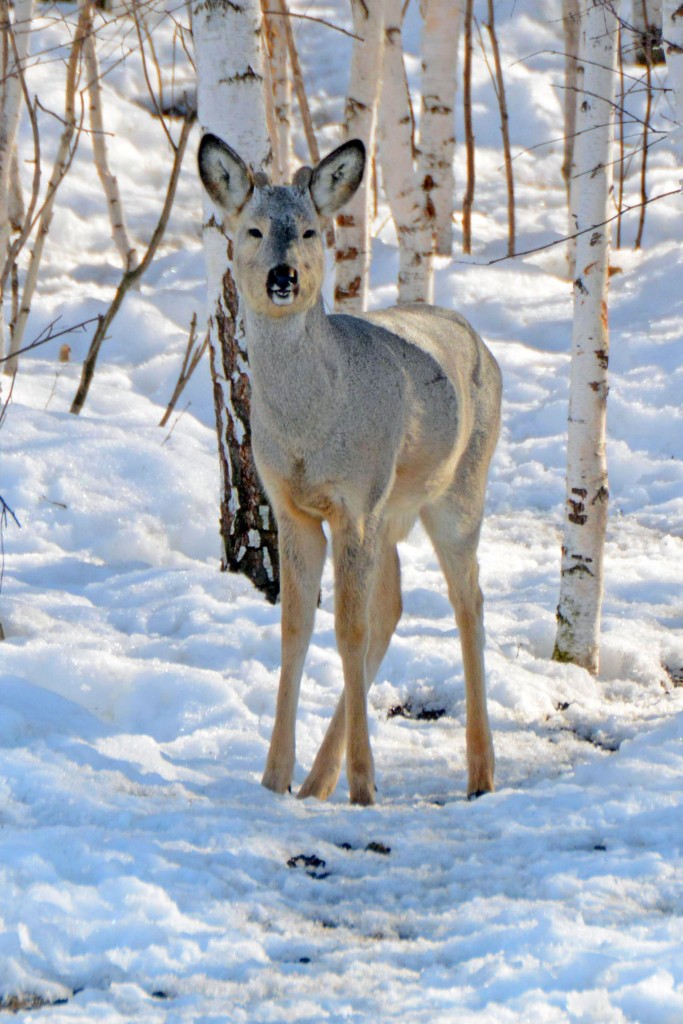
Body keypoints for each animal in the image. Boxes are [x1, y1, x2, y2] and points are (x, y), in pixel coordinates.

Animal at [197, 134, 501, 806]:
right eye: (253, 229)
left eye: (311, 231)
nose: (283, 276)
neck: (310, 427)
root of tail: (478, 340)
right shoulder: (293, 508)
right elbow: (296, 629)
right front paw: (274, 777)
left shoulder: (354, 503)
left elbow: (347, 632)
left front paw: (364, 785)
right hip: (392, 512)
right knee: (394, 604)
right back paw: (317, 780)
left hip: (458, 492)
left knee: (468, 600)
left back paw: (480, 773)